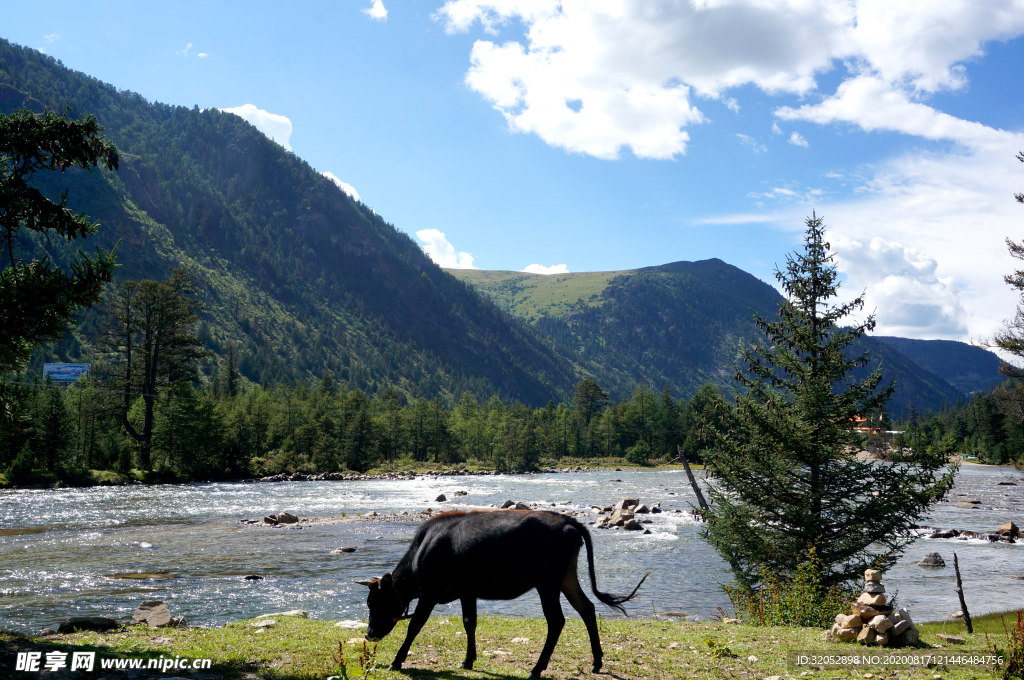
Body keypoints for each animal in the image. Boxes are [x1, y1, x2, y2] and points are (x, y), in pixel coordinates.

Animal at [360, 510, 643, 680]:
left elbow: (415, 626)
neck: (421, 550)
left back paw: (536, 669)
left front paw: (396, 661)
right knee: (586, 608)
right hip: (566, 577)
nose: (369, 634)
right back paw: (596, 661)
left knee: (556, 620)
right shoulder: (467, 592)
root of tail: (568, 520)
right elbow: (469, 623)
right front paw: (468, 661)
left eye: (374, 602)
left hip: (546, 581)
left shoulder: (429, 593)